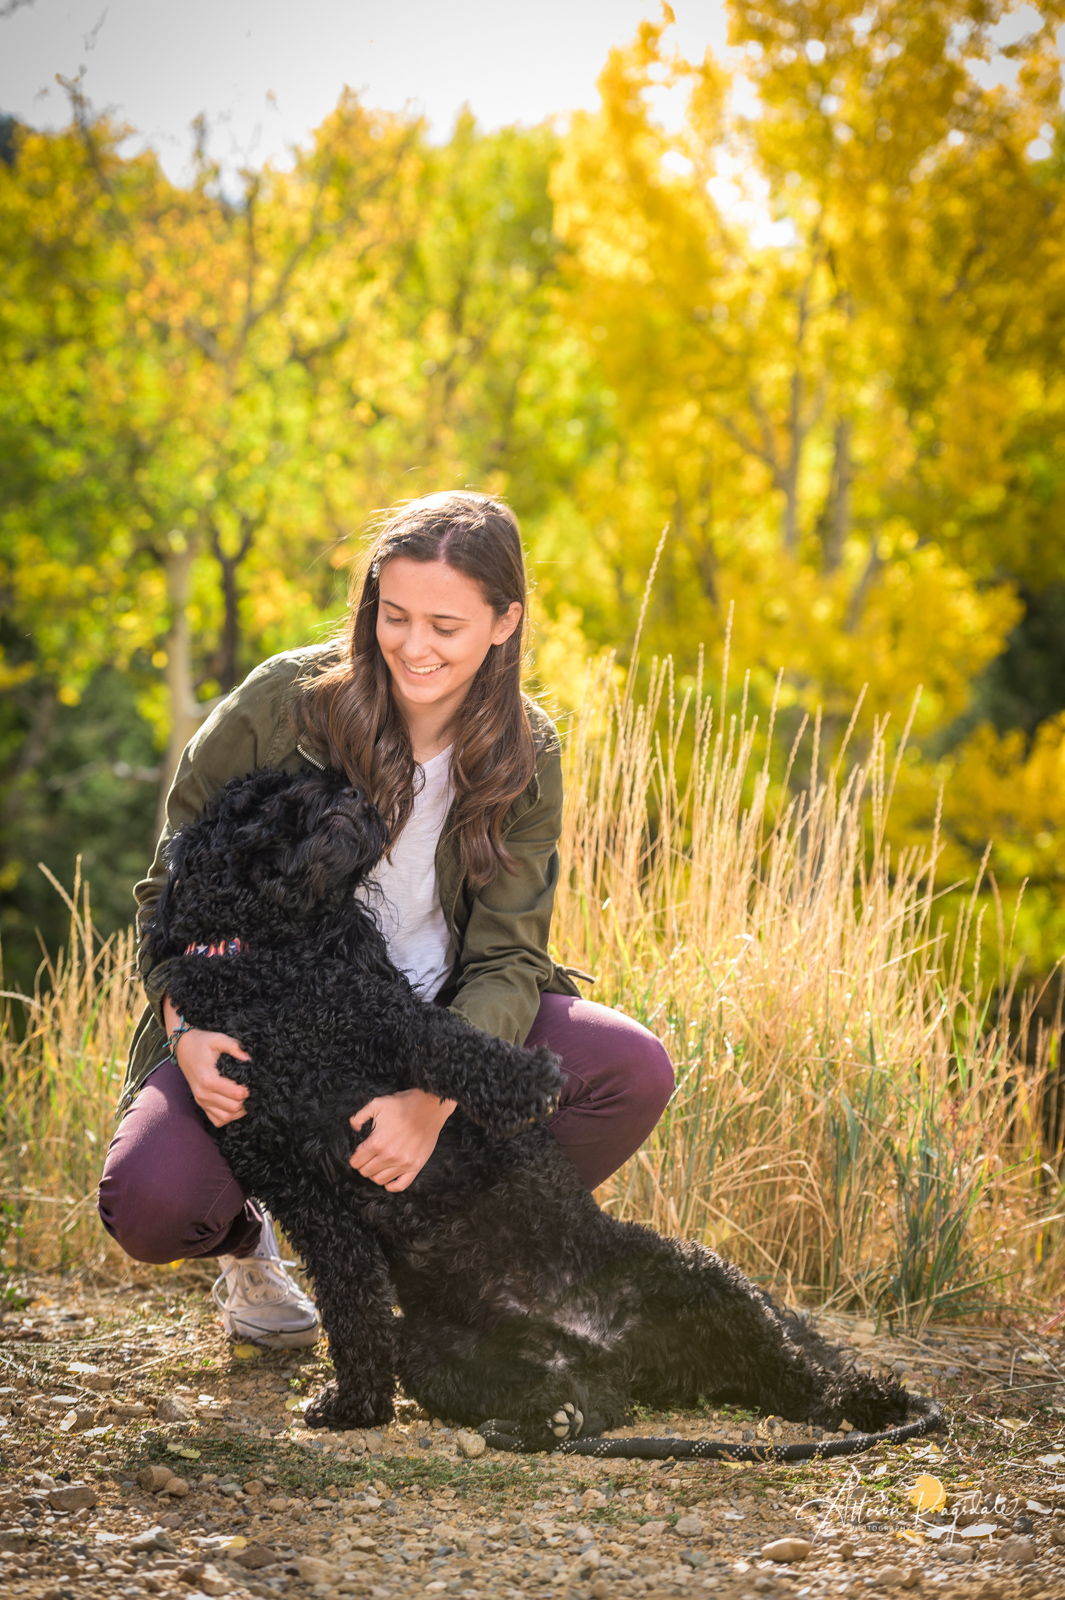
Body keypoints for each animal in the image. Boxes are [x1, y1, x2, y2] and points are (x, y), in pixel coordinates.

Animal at [143, 768, 921, 1459]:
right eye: (266, 794)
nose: (345, 785)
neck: (270, 966)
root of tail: (602, 1341)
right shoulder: (313, 1204)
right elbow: (353, 1312)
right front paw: (354, 1406)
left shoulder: (378, 1019)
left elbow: (450, 1042)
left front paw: (528, 1080)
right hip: (436, 1350)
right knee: (589, 1401)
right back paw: (547, 1419)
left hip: (709, 1284)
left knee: (799, 1380)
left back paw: (870, 1399)